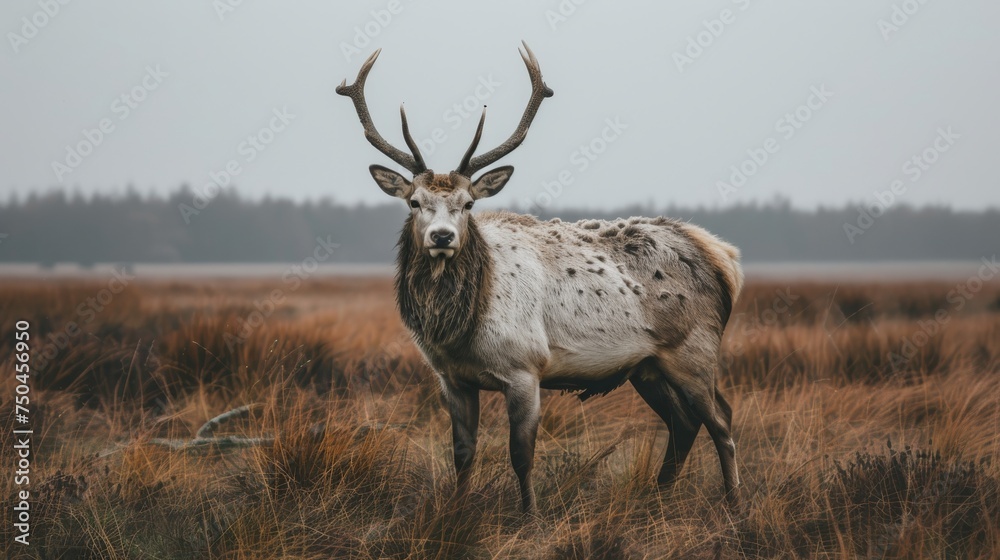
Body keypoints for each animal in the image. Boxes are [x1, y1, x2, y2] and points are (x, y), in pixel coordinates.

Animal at [337, 43, 744, 514]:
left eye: (469, 203)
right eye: (414, 202)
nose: (442, 236)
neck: (461, 330)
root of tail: (722, 258)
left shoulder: (525, 368)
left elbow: (521, 453)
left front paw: (530, 515)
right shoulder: (451, 379)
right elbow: (462, 453)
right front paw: (456, 511)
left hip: (693, 350)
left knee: (721, 420)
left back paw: (734, 504)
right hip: (648, 366)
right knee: (684, 422)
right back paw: (656, 497)